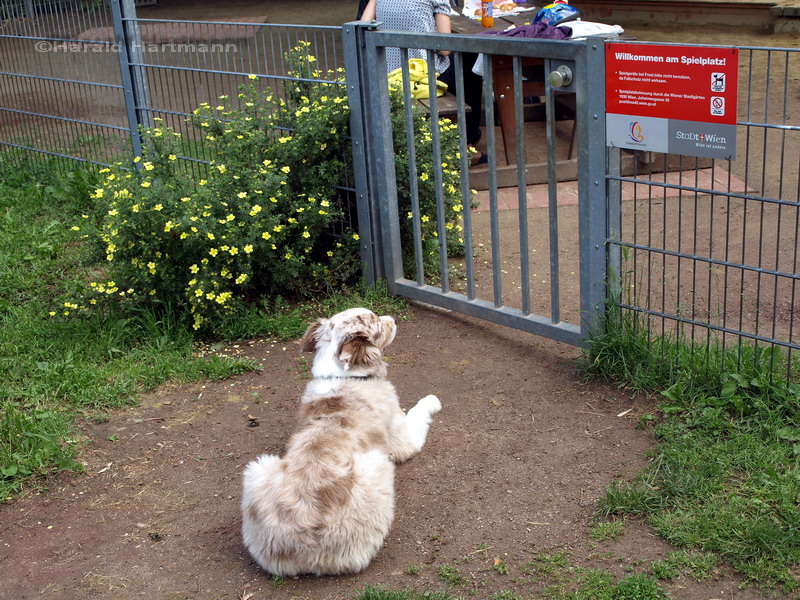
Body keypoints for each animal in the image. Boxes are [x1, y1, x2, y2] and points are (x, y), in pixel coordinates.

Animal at [242, 310, 444, 576]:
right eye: (376, 321)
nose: (394, 318)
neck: (343, 374)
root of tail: (303, 545)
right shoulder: (404, 438)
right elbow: (417, 410)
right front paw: (433, 399)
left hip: (257, 469)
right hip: (378, 465)